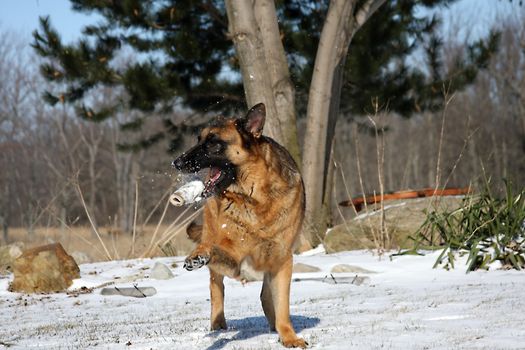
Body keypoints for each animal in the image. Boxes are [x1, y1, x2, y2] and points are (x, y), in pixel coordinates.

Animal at [172, 103, 308, 348]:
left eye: (213, 143)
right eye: (199, 139)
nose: (176, 162)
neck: (255, 198)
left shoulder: (282, 262)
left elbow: (282, 305)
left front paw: (288, 336)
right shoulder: (235, 259)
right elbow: (213, 252)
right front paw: (198, 255)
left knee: (265, 295)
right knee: (216, 285)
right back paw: (218, 322)